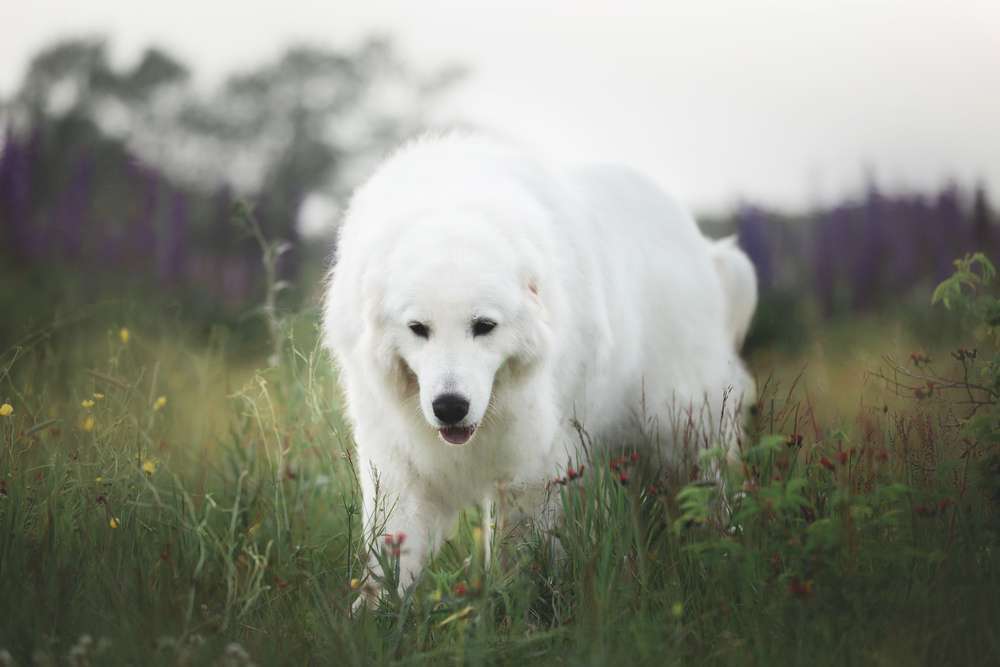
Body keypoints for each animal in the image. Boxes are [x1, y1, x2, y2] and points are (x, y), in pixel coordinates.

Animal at [324, 133, 752, 604]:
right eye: (418, 328)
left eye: (484, 326)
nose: (450, 407)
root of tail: (704, 247)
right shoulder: (399, 459)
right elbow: (394, 546)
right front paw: (376, 614)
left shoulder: (531, 465)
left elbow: (519, 553)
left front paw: (514, 608)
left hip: (680, 424)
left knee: (706, 488)